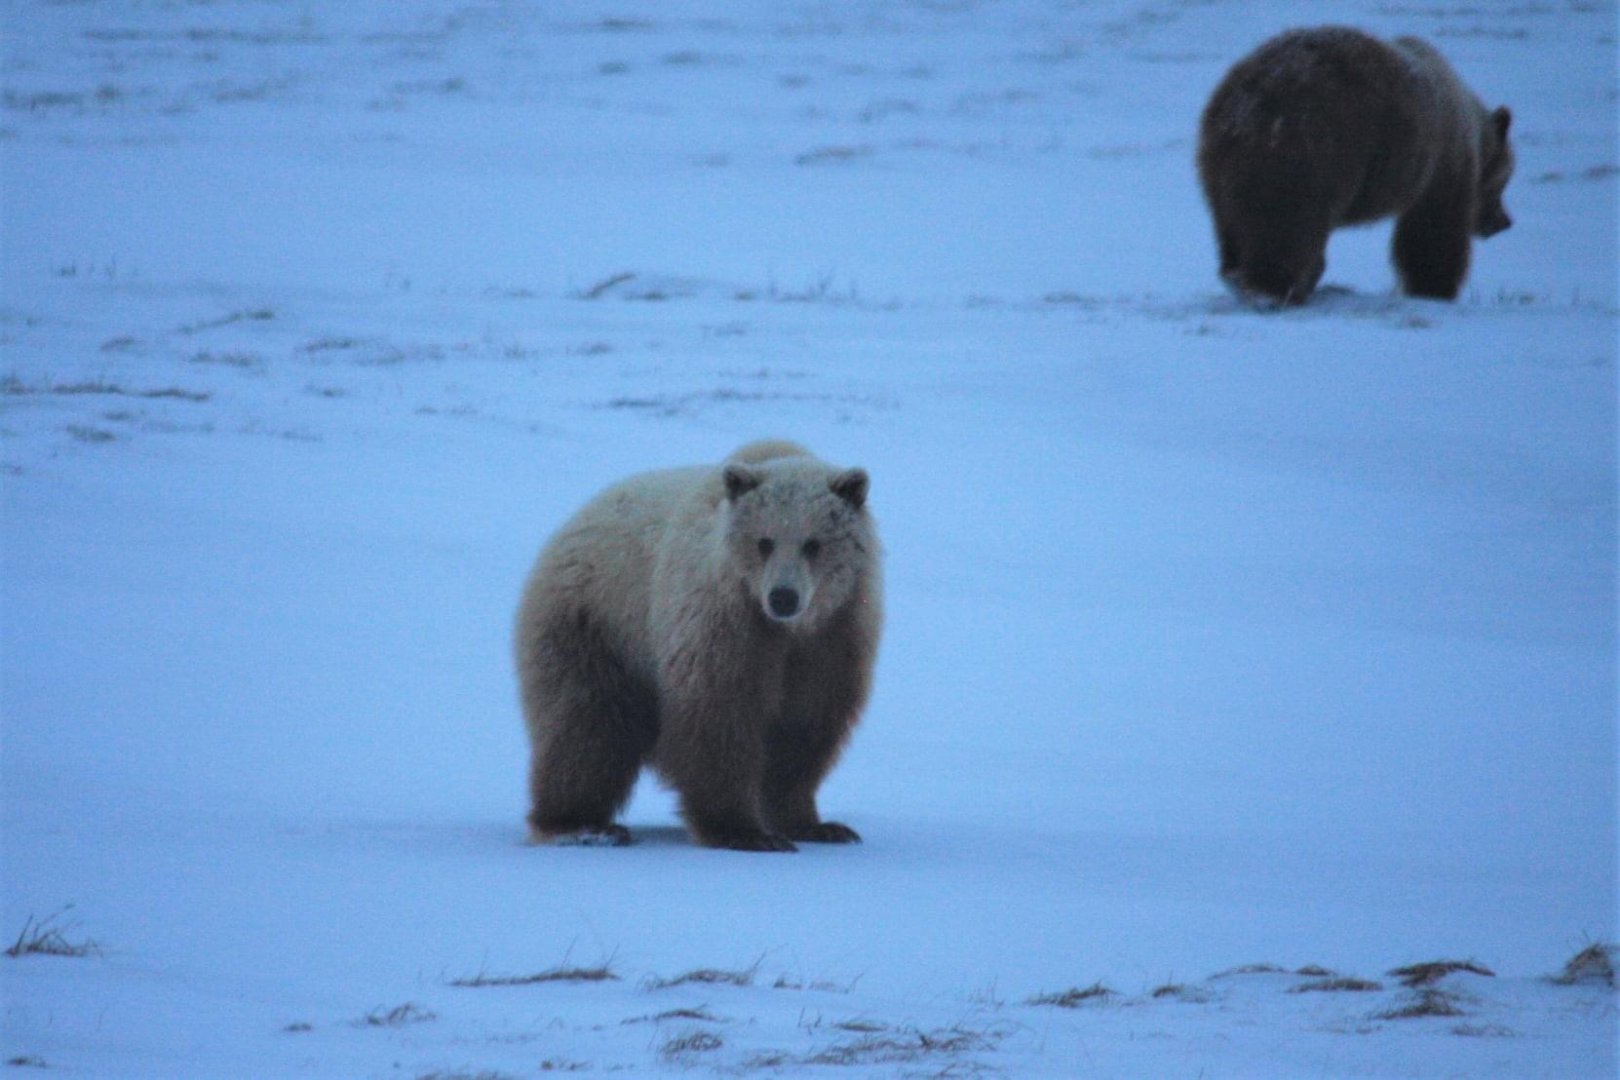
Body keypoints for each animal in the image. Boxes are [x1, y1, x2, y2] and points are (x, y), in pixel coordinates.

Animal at [514, 439, 882, 852]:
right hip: (598, 625)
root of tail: (568, 526)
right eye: (764, 542)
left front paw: (816, 824)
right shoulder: (724, 622)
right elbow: (719, 711)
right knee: (587, 725)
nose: (783, 597)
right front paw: (742, 830)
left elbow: (805, 726)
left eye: (813, 544)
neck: (788, 629)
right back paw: (581, 825)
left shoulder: (832, 639)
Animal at [1196, 26, 1514, 305]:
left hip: (1221, 162)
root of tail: (1249, 104)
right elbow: (1434, 231)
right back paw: (1276, 288)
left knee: (1232, 225)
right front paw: (1433, 288)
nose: (1504, 222)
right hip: (1317, 150)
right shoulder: (1441, 164)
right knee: (1287, 223)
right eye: (1504, 182)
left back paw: (1241, 278)